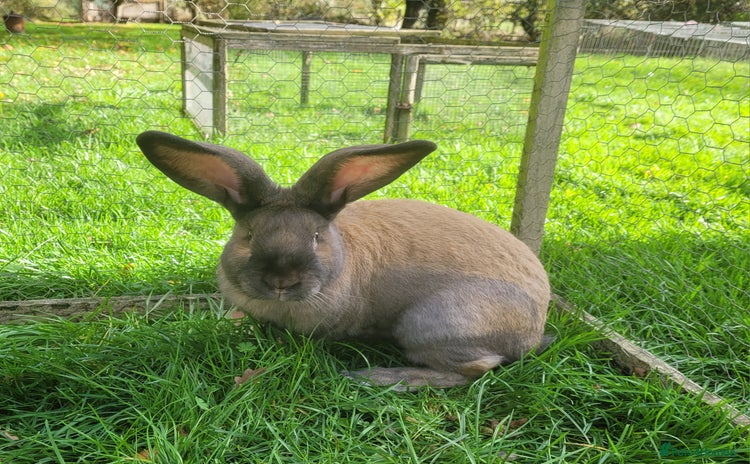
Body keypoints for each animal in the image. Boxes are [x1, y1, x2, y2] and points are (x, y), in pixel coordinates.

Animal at [136, 130, 551, 389]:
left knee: (477, 369)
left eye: (317, 237)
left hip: (434, 323)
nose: (282, 281)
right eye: (248, 236)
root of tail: (533, 329)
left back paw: (382, 378)